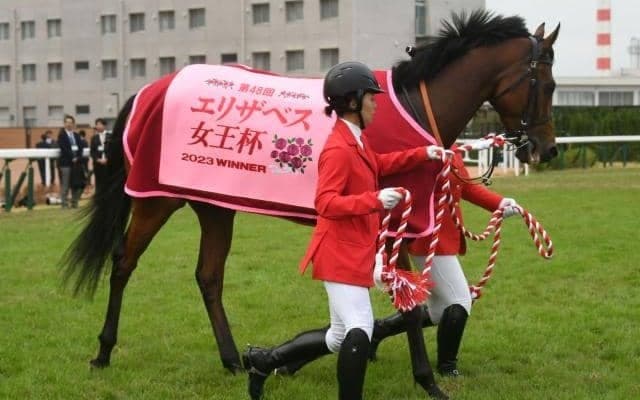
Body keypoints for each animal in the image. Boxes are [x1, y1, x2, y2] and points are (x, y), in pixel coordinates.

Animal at [62, 10, 559, 378]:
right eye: (549, 85)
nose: (546, 149)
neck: (415, 108)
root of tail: (150, 90)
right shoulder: (394, 224)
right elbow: (412, 308)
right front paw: (421, 375)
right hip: (156, 197)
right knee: (124, 262)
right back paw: (103, 351)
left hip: (215, 206)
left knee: (208, 276)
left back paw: (233, 360)